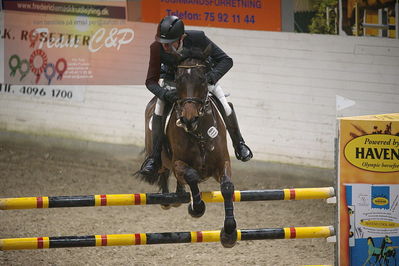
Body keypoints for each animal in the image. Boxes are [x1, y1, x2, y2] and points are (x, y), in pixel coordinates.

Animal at [137, 45, 238, 247]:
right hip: (161, 159)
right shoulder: (179, 164)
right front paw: (196, 207)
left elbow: (227, 187)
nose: (189, 119)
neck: (198, 132)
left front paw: (229, 232)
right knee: (162, 170)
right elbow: (191, 175)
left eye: (203, 79)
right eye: (178, 80)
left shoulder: (222, 163)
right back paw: (168, 198)